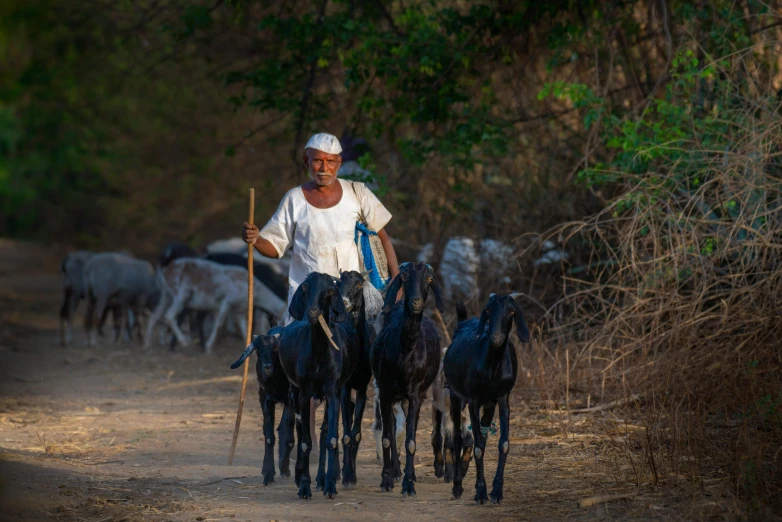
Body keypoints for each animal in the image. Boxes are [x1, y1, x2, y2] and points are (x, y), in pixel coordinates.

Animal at [145, 256, 286, 352]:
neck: (256, 293)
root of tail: (164, 272)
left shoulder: (240, 310)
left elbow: (244, 327)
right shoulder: (227, 302)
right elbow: (218, 324)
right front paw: (208, 347)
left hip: (166, 294)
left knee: (155, 315)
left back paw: (148, 344)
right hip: (180, 294)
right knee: (169, 315)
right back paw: (184, 341)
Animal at [233, 324, 298, 484]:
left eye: (275, 350)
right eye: (258, 350)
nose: (267, 366)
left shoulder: (292, 399)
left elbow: (289, 435)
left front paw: (284, 468)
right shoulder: (266, 400)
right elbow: (268, 435)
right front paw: (268, 473)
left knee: (284, 427)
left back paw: (284, 466)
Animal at [278, 270, 360, 498]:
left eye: (330, 291)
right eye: (305, 287)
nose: (313, 312)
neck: (319, 355)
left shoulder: (332, 392)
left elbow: (331, 438)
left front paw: (330, 485)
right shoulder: (305, 393)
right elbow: (306, 441)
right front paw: (305, 487)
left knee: (324, 432)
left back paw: (324, 479)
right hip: (295, 391)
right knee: (299, 428)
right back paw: (303, 477)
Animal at [370, 262, 444, 494]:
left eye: (429, 279)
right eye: (403, 278)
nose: (416, 302)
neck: (406, 352)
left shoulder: (416, 396)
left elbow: (410, 441)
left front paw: (409, 483)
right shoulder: (385, 392)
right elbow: (387, 437)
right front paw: (386, 479)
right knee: (393, 428)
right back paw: (394, 471)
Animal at [448, 290, 532, 502]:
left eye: (511, 311)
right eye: (488, 310)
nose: (495, 337)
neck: (492, 368)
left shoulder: (503, 399)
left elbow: (503, 444)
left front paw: (496, 491)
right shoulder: (473, 400)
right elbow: (477, 447)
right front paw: (480, 491)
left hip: (489, 405)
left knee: (482, 437)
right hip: (455, 395)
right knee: (458, 437)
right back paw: (457, 486)